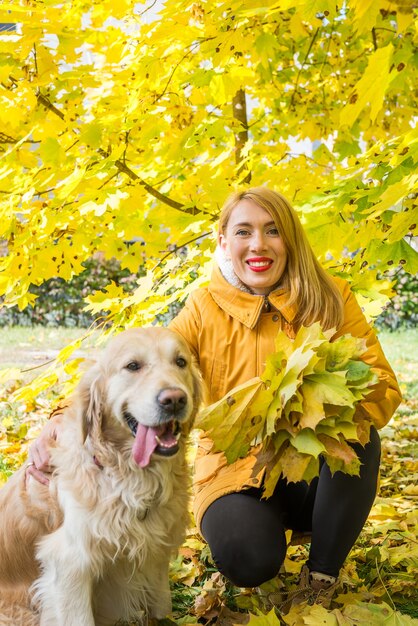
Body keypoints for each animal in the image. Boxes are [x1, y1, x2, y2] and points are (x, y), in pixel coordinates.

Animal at [0, 326, 202, 624]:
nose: (175, 399)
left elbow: (161, 609)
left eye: (180, 362)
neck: (127, 476)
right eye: (133, 366)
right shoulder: (70, 564)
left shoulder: (156, 554)